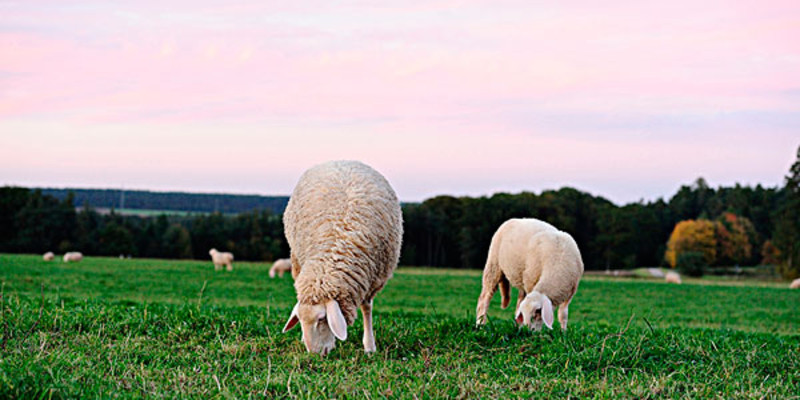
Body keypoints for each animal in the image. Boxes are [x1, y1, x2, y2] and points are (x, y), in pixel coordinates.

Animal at [282, 161, 406, 354]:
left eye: (321, 319)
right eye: (300, 320)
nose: (314, 355)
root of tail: (342, 160)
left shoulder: (371, 280)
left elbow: (367, 308)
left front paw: (370, 347)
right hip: (295, 259)